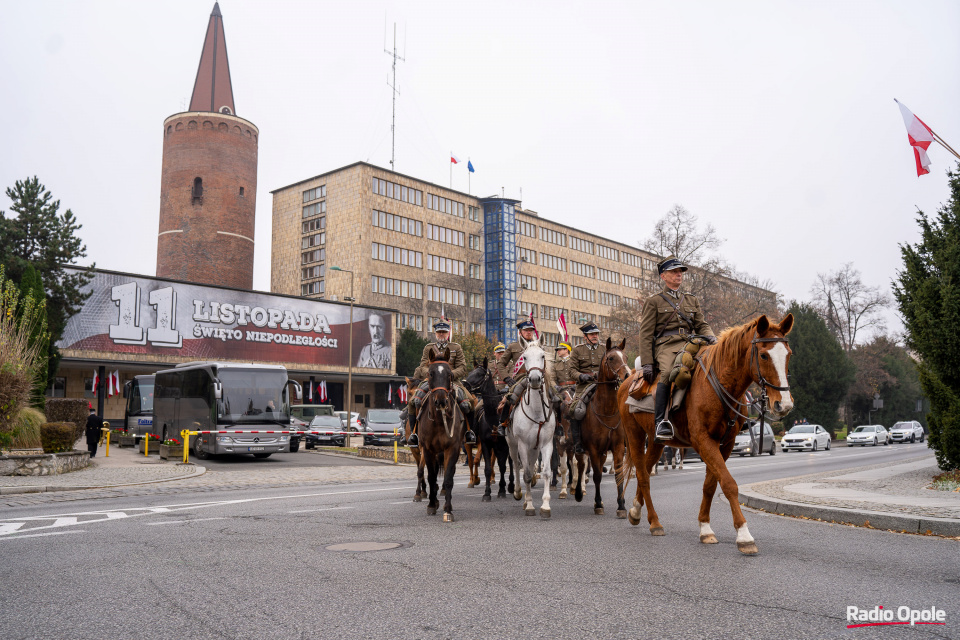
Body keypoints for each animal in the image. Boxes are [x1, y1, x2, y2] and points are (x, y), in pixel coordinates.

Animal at [418, 348, 466, 524]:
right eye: (430, 373)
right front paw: (432, 505)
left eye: (450, 374)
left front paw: (448, 510)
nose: (441, 402)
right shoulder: (427, 449)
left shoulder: (452, 448)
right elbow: (431, 476)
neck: (439, 420)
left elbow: (448, 478)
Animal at [506, 338, 560, 516]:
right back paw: (518, 493)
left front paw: (545, 505)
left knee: (530, 463)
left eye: (543, 355)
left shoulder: (547, 444)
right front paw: (529, 505)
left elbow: (546, 472)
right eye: (524, 357)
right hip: (512, 444)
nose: (535, 379)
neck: (536, 411)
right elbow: (528, 475)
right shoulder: (522, 444)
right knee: (517, 465)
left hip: (534, 448)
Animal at [572, 338, 632, 516]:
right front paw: (598, 504)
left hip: (604, 451)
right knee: (580, 466)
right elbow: (597, 475)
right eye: (611, 358)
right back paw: (578, 493)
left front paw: (621, 505)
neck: (607, 410)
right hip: (580, 448)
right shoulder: (592, 448)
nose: (628, 375)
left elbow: (618, 474)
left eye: (625, 357)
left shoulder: (617, 446)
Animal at [616, 312, 796, 552]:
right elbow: (728, 483)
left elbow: (710, 485)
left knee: (643, 470)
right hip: (635, 435)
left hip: (656, 441)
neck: (720, 383)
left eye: (788, 355)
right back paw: (654, 522)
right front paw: (744, 535)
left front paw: (705, 529)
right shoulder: (704, 441)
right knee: (643, 475)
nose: (783, 404)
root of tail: (629, 379)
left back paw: (636, 511)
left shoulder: (725, 443)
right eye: (764, 355)